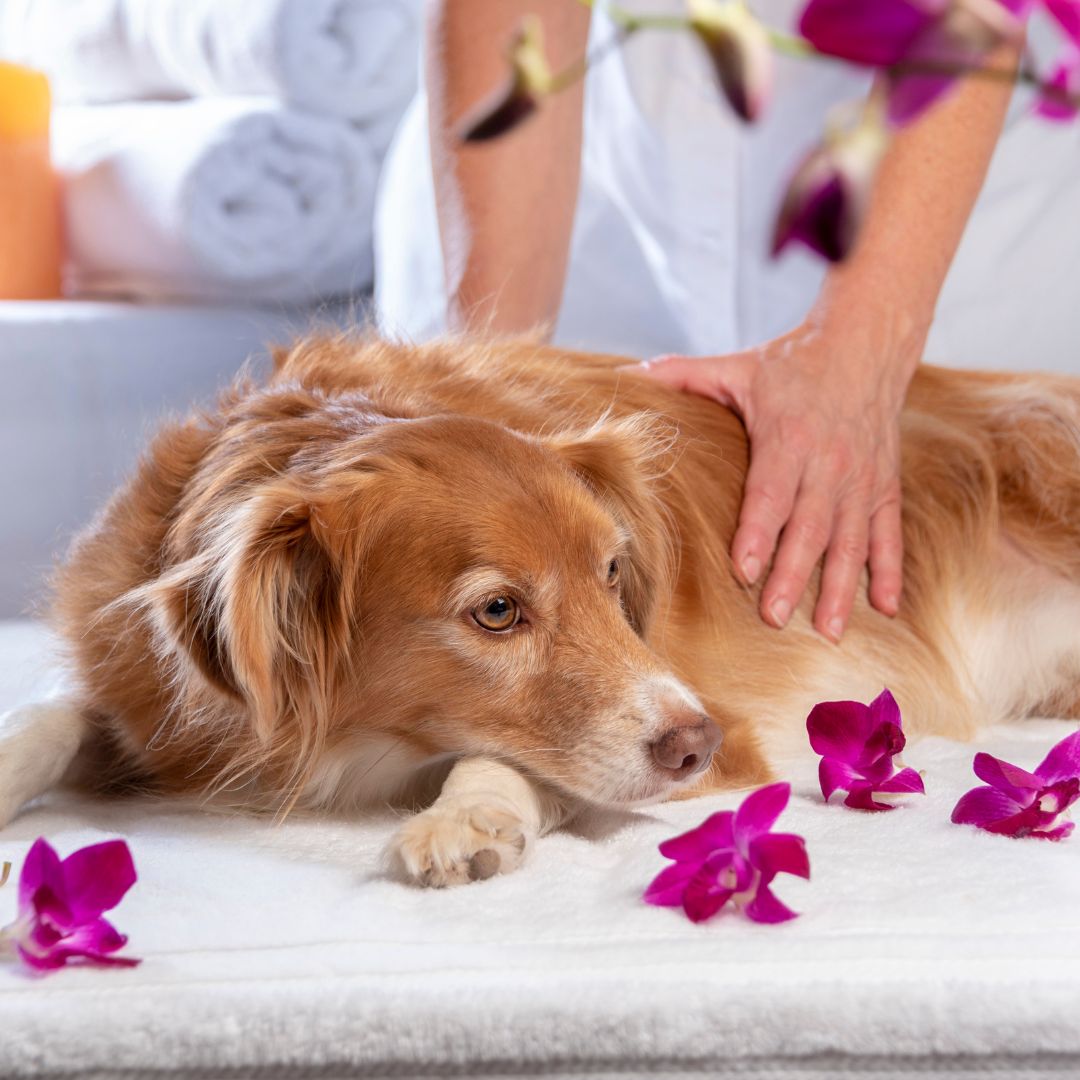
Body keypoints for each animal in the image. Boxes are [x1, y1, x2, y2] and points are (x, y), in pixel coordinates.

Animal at [2, 336, 1080, 885]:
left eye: (614, 572)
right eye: (496, 612)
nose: (692, 744)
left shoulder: (723, 723)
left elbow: (518, 760)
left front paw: (466, 816)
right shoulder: (156, 694)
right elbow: (52, 715)